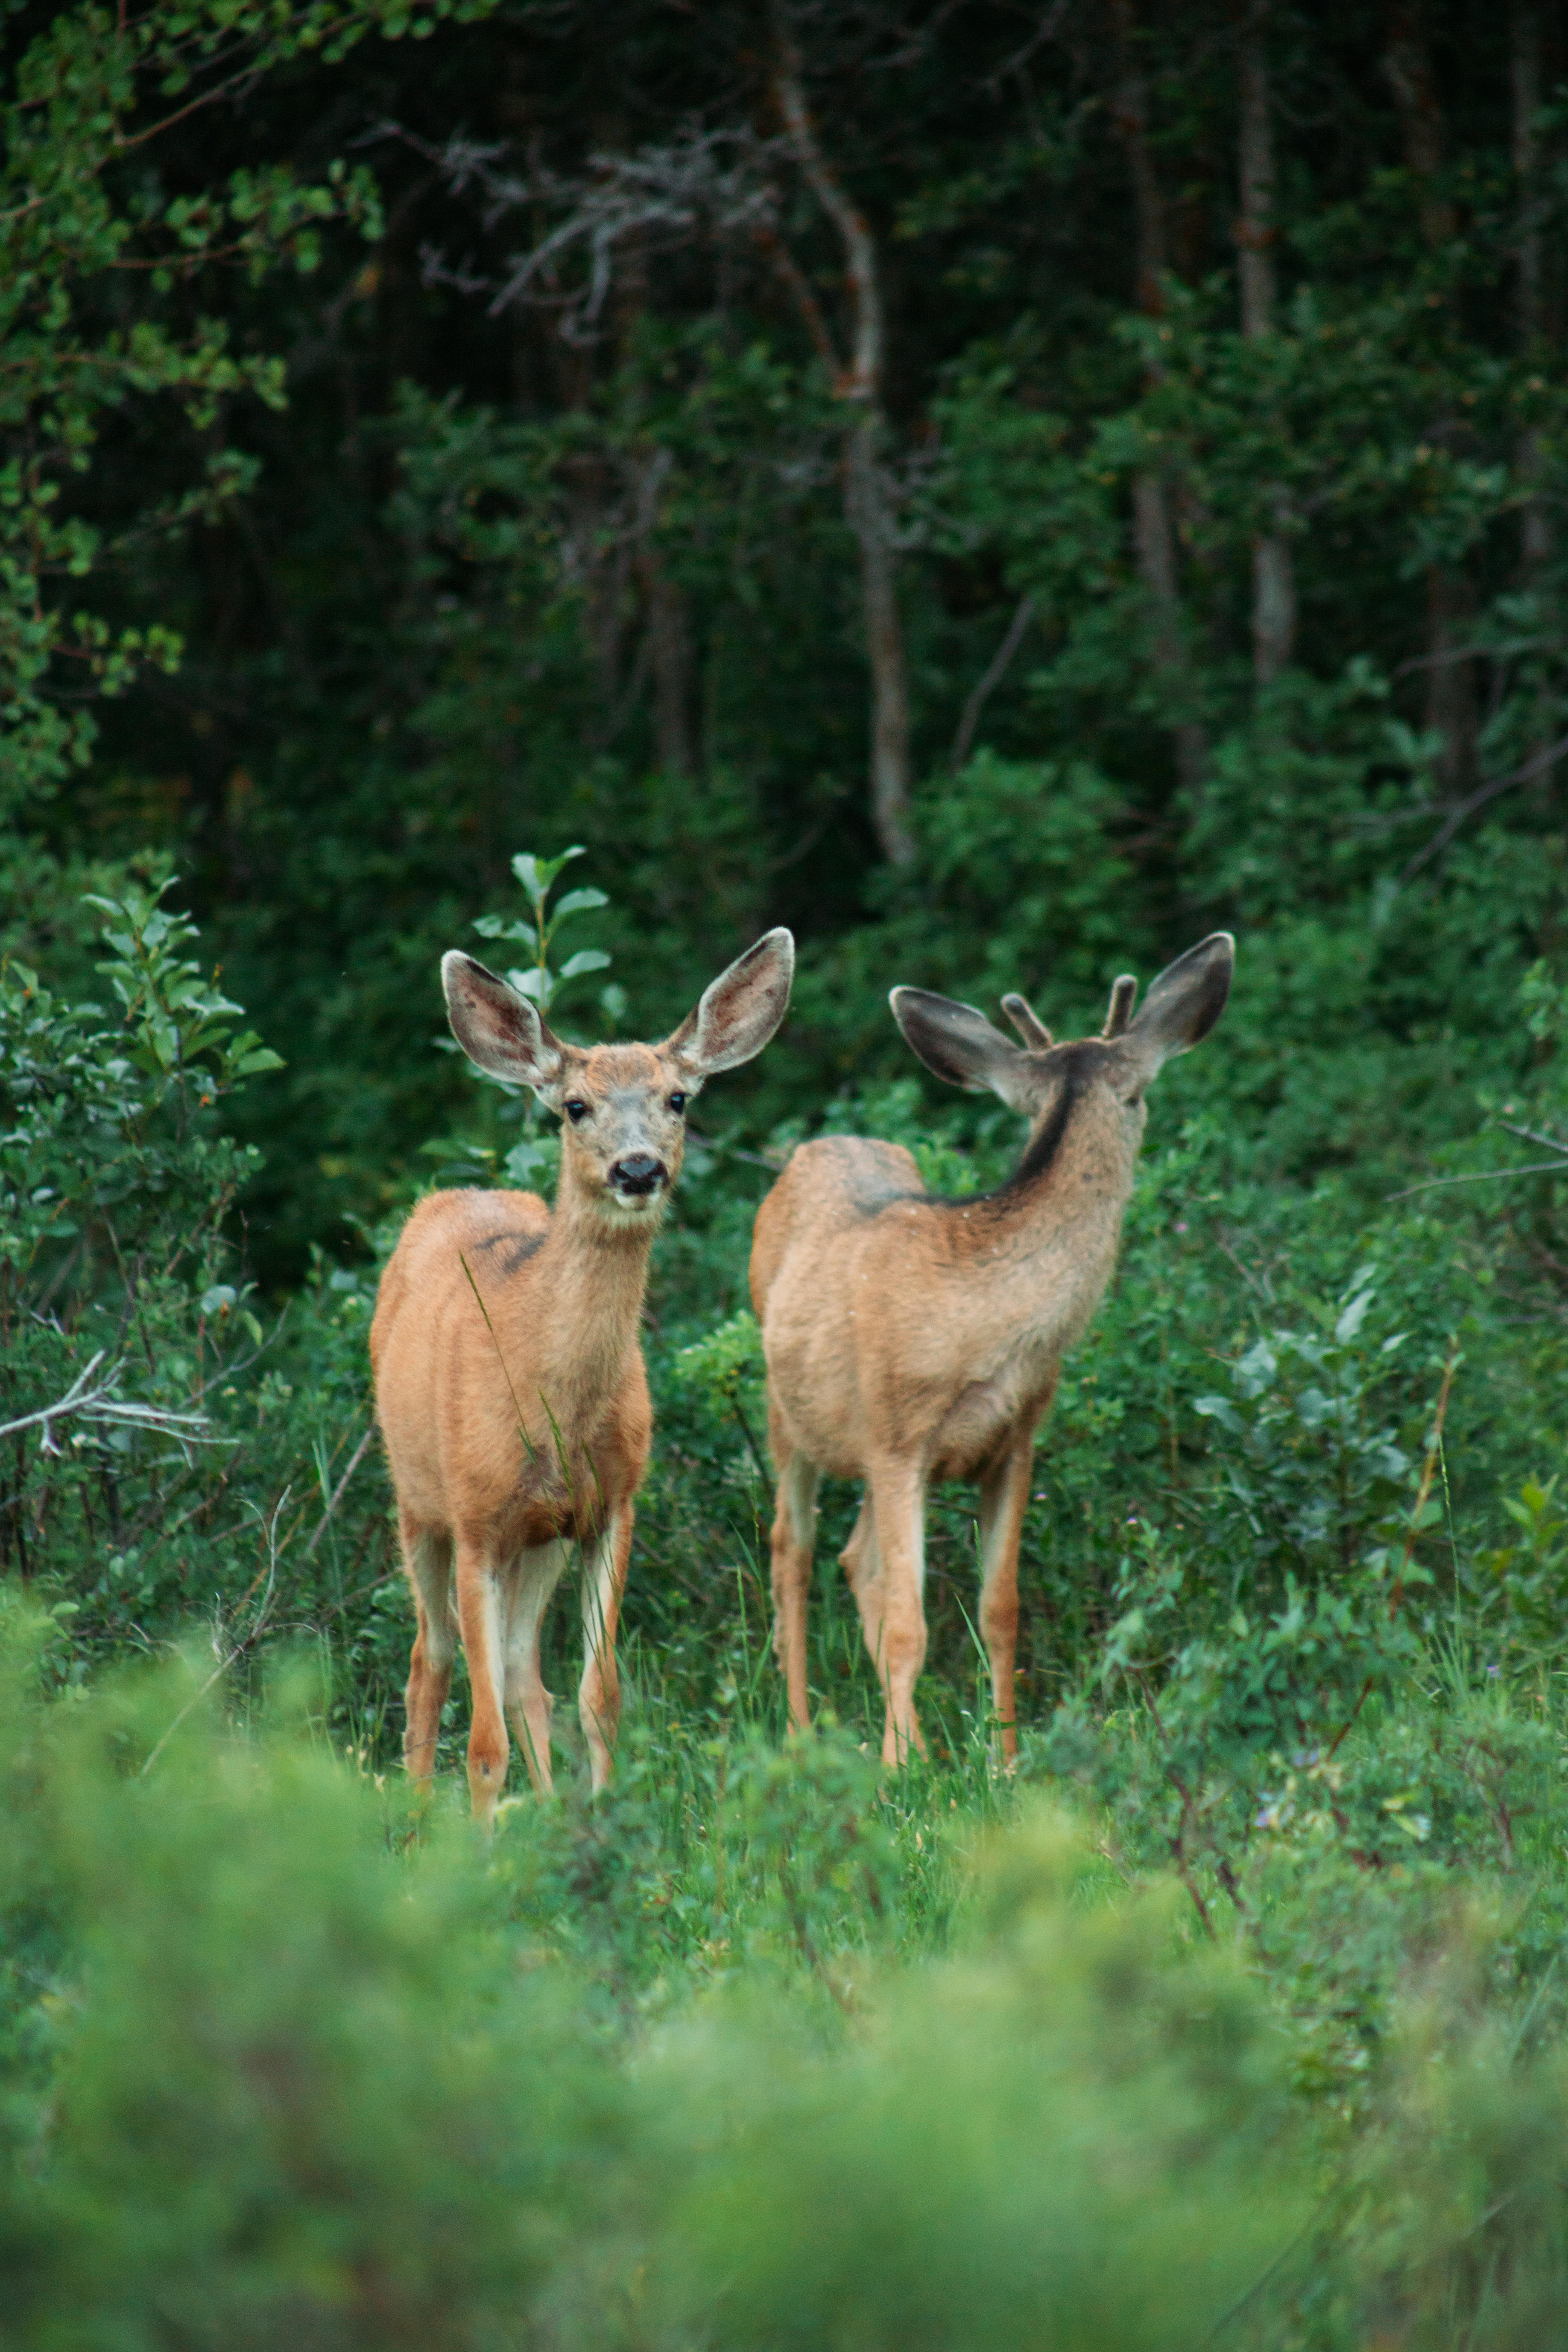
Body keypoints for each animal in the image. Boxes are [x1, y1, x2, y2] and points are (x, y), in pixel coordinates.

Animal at [371, 928, 794, 1829]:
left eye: (678, 1099)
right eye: (574, 1106)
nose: (637, 1170)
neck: (548, 1400)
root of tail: (451, 1196)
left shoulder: (612, 1506)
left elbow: (600, 1698)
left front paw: (605, 1819)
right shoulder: (476, 1517)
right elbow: (481, 1740)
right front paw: (478, 1843)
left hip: (542, 1542)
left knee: (523, 1668)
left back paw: (546, 1809)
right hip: (416, 1501)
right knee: (432, 1658)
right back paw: (424, 1820)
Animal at [750, 932, 1233, 1768]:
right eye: (1140, 1095)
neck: (988, 1326)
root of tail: (813, 1149)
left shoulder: (1013, 1442)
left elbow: (999, 1609)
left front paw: (1002, 1762)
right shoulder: (896, 1439)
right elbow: (909, 1623)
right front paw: (896, 1774)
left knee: (853, 1558)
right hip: (789, 1414)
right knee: (792, 1553)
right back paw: (804, 1735)